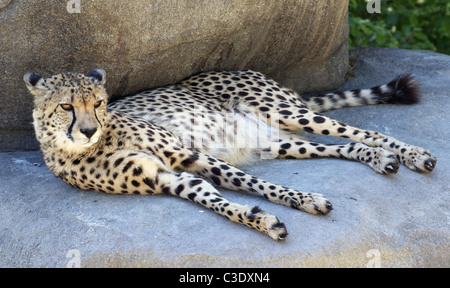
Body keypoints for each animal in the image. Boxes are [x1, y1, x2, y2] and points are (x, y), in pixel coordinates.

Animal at [23, 68, 436, 240]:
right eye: (66, 106)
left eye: (99, 102)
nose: (88, 129)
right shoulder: (168, 176)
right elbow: (215, 200)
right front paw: (262, 221)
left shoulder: (189, 155)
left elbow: (258, 184)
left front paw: (303, 199)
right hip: (275, 141)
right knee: (349, 145)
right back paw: (380, 159)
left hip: (287, 112)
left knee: (366, 132)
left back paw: (413, 154)